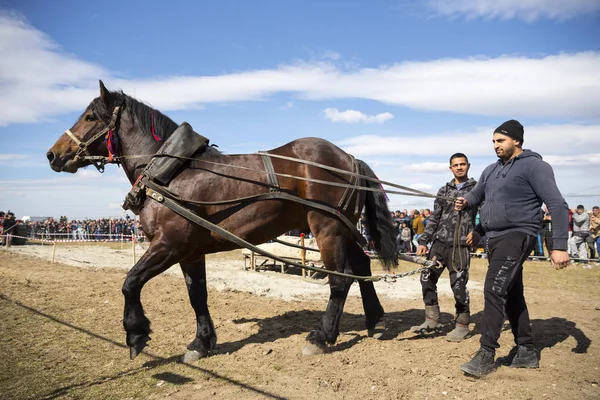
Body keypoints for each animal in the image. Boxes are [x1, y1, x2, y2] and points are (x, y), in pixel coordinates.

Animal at [48, 80, 398, 360]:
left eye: (90, 117)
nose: (53, 154)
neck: (171, 174)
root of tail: (349, 158)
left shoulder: (168, 244)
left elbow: (130, 282)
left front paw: (136, 334)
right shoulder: (190, 252)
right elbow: (197, 295)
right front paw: (201, 343)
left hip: (326, 227)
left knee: (340, 280)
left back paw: (322, 337)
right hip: (343, 228)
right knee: (362, 268)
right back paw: (375, 320)